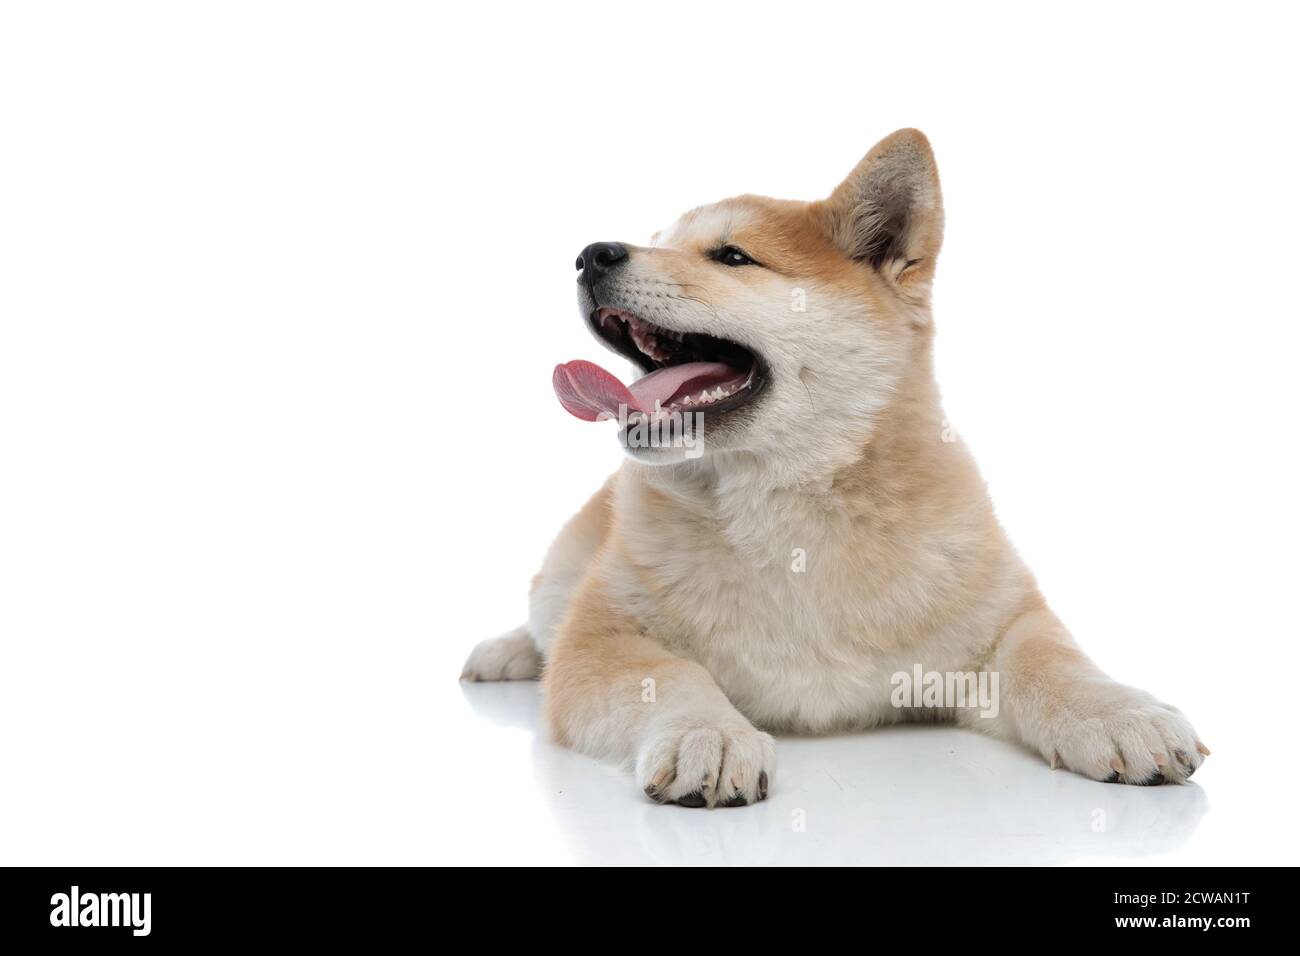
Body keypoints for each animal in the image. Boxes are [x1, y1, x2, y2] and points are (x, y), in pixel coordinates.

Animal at [460, 128, 1206, 806]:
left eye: (732, 256)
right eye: (661, 240)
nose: (590, 254)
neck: (787, 510)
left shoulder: (999, 621)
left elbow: (1052, 660)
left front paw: (1121, 713)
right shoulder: (604, 635)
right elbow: (673, 679)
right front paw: (708, 733)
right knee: (542, 615)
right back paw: (506, 652)